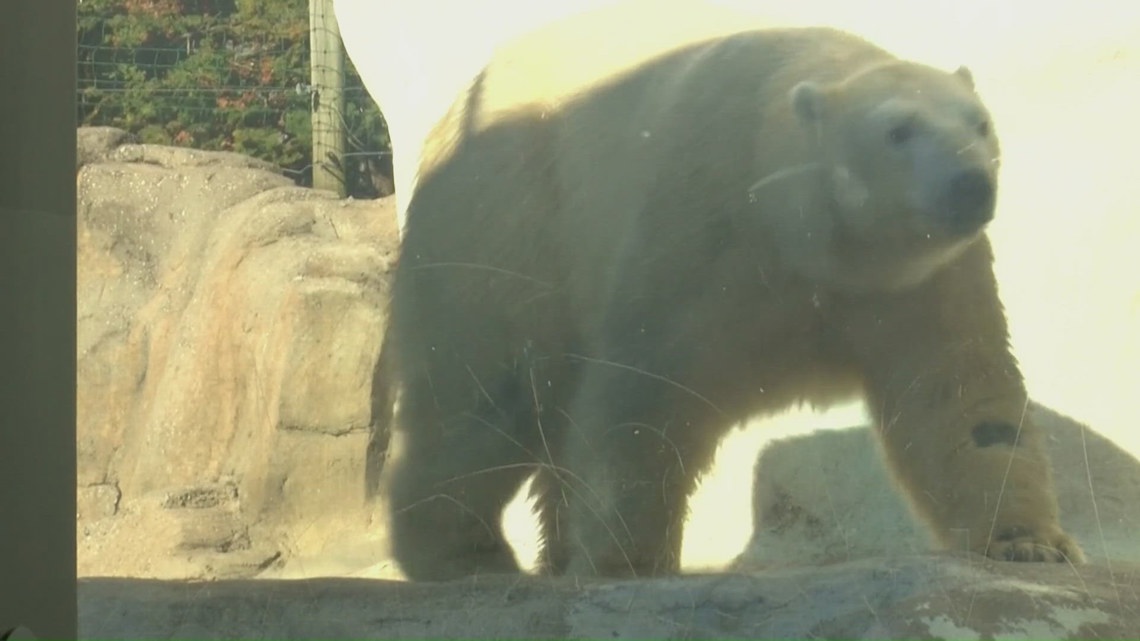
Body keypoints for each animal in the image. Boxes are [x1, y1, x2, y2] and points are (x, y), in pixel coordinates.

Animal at [368, 2, 1085, 580]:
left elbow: (962, 396)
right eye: (898, 129)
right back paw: (463, 554)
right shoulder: (705, 229)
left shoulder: (924, 280)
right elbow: (644, 391)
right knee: (490, 392)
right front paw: (629, 558)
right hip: (510, 216)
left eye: (980, 123)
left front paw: (1031, 543)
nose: (971, 184)